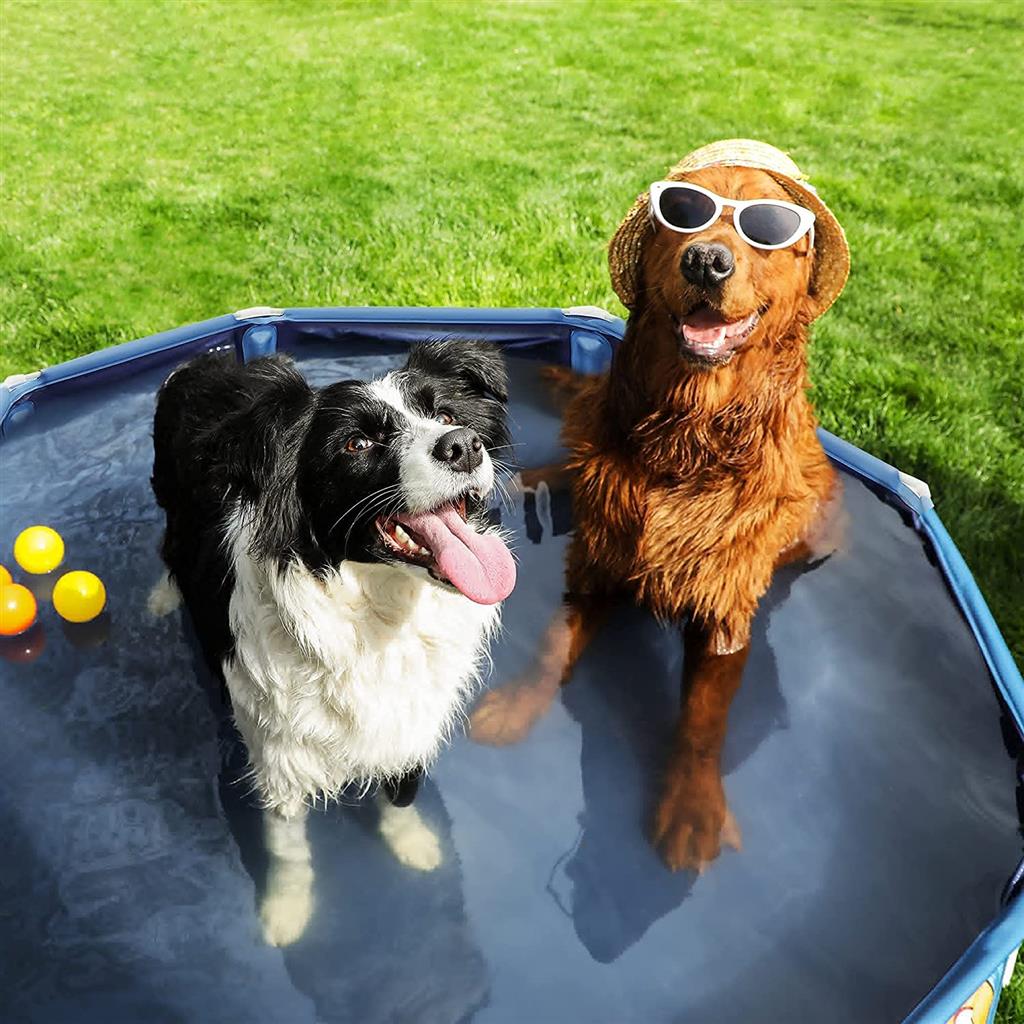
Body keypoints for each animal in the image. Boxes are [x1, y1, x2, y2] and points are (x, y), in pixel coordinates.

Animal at [148, 339, 516, 946]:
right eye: (357, 443)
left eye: (446, 416)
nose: (463, 445)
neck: (382, 614)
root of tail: (210, 357)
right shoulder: (278, 755)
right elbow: (288, 849)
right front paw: (286, 913)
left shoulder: (412, 716)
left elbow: (401, 796)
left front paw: (412, 845)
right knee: (167, 545)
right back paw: (162, 596)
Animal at [471, 136, 847, 872]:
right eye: (683, 213)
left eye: (765, 228)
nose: (706, 260)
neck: (690, 437)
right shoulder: (595, 564)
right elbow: (553, 646)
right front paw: (518, 707)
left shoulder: (725, 610)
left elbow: (702, 720)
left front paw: (693, 808)